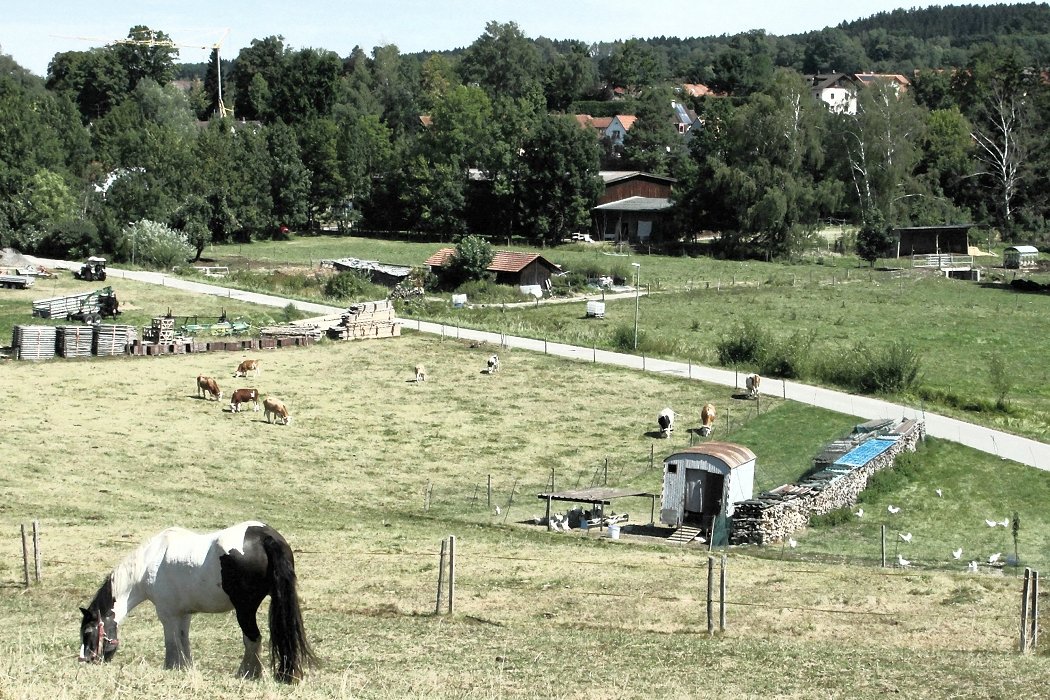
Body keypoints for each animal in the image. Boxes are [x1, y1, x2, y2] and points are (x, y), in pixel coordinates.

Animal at [79, 522, 312, 680]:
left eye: (88, 632)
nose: (85, 660)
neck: (149, 562)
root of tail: (265, 536)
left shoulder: (167, 614)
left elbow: (172, 642)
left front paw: (171, 668)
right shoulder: (184, 614)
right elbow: (184, 640)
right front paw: (185, 668)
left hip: (245, 610)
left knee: (252, 639)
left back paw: (247, 674)